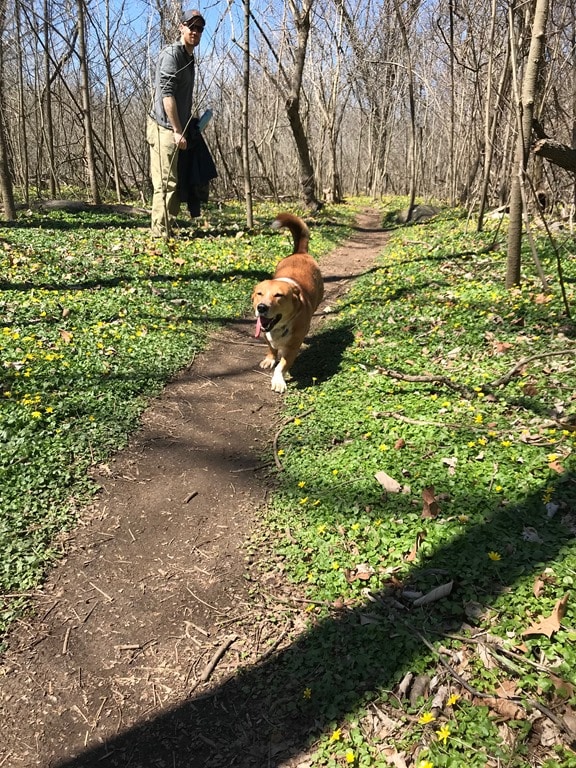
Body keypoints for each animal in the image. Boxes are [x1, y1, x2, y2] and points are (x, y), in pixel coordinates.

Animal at [252, 213, 324, 393]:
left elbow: (282, 365)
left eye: (278, 295)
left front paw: (278, 381)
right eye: (259, 293)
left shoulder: (292, 348)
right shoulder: (265, 333)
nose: (261, 307)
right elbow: (271, 348)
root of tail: (300, 252)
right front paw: (270, 359)